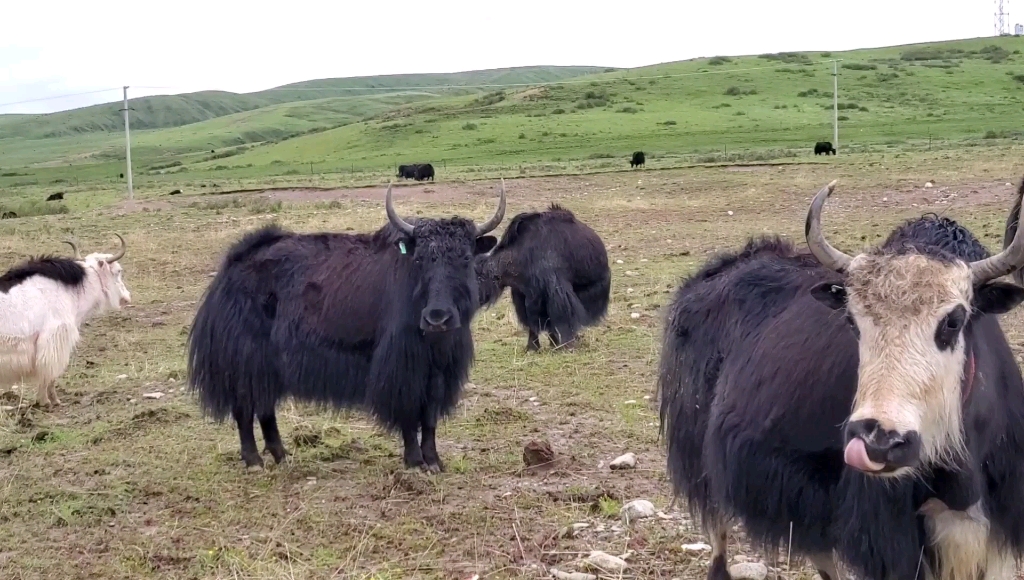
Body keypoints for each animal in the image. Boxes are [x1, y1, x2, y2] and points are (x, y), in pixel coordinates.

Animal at [188, 179, 507, 471]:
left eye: (465, 258)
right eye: (420, 259)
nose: (437, 318)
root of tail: (232, 265)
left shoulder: (440, 371)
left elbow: (429, 418)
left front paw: (434, 462)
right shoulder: (401, 367)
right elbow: (407, 413)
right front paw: (415, 462)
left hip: (267, 365)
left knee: (265, 407)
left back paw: (281, 456)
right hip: (245, 358)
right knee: (245, 407)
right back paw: (254, 461)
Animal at [477, 204, 610, 350]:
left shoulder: (554, 289)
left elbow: (561, 316)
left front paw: (565, 345)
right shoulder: (523, 294)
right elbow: (532, 320)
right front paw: (533, 347)